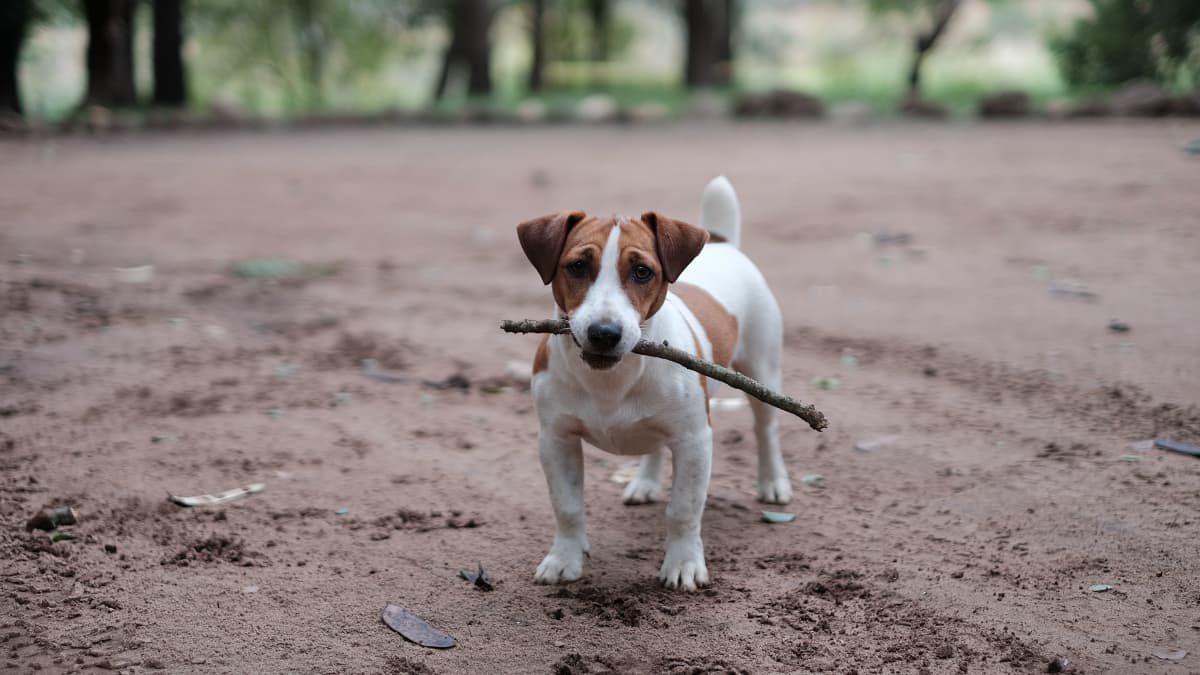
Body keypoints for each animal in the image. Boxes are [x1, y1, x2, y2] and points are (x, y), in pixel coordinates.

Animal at [513, 174, 787, 588]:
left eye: (642, 271)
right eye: (577, 266)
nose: (604, 333)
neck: (611, 379)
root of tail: (721, 243)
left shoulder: (694, 441)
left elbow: (683, 510)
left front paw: (683, 563)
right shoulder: (556, 439)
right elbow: (567, 506)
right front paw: (564, 558)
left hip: (761, 371)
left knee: (766, 429)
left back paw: (773, 482)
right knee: (654, 445)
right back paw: (645, 482)